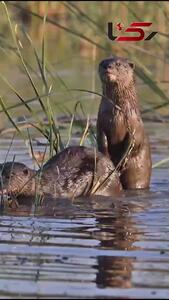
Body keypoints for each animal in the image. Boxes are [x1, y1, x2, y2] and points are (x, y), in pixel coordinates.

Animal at [96, 55, 152, 189]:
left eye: (118, 64)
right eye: (103, 63)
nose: (107, 66)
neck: (118, 116)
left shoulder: (135, 126)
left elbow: (133, 142)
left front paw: (121, 162)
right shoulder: (101, 122)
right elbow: (102, 139)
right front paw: (107, 157)